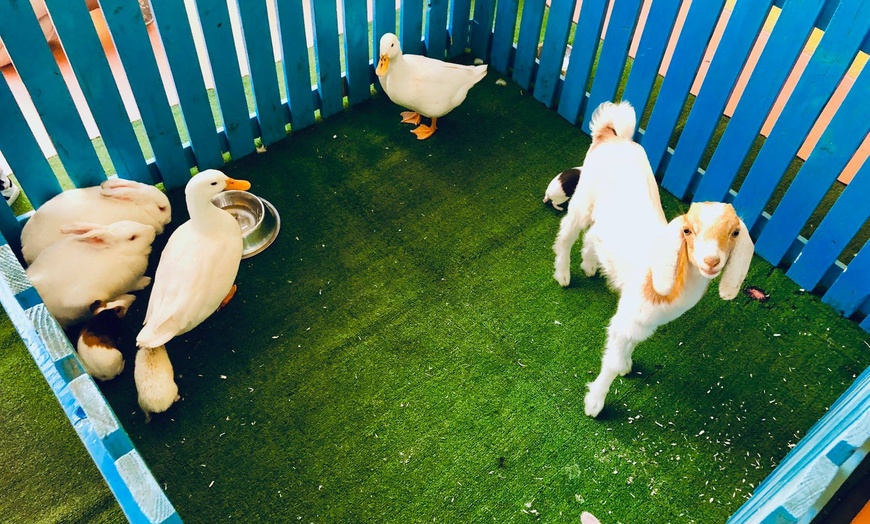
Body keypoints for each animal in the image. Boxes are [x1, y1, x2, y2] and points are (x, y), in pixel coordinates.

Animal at [26, 221, 157, 328]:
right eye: (132, 238)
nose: (152, 229)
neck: (119, 253)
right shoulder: (125, 283)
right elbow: (133, 285)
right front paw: (145, 281)